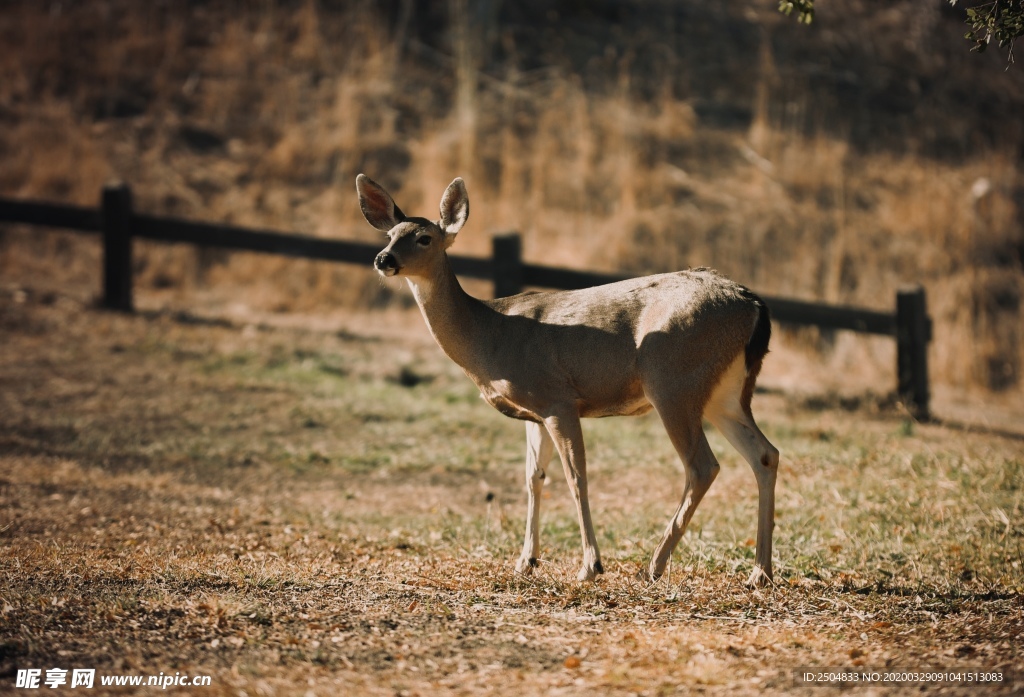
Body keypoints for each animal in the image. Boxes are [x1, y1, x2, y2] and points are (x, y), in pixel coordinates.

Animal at [356, 173, 778, 585]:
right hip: (726, 393)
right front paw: (525, 561)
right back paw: (760, 572)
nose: (383, 259)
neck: (490, 333)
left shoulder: (557, 397)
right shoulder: (534, 410)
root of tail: (754, 305)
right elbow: (533, 477)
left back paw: (655, 566)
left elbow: (576, 477)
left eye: (424, 238)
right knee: (765, 454)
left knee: (702, 465)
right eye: (390, 234)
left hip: (673, 379)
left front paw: (590, 566)